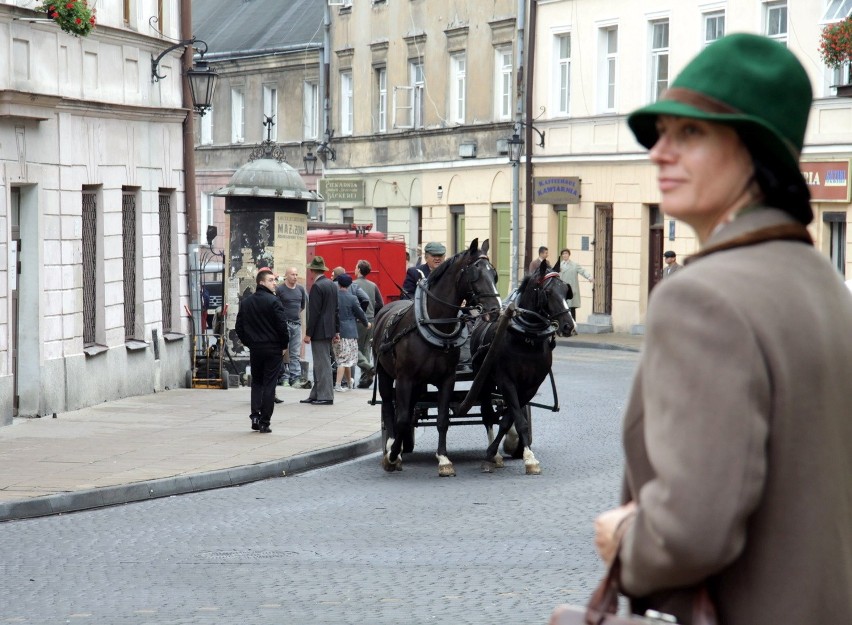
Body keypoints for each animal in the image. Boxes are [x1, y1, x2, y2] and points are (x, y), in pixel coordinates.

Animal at [372, 236, 500, 476]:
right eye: (475, 274)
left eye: (494, 274)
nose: (495, 310)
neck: (434, 324)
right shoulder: (404, 379)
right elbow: (401, 418)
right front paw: (393, 455)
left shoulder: (446, 379)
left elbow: (442, 419)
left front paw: (443, 459)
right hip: (386, 375)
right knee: (388, 408)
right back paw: (392, 446)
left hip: (417, 384)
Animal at [470, 262, 576, 472]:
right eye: (548, 292)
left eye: (565, 290)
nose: (569, 325)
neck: (526, 338)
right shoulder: (506, 381)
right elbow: (516, 419)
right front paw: (496, 454)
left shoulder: (530, 387)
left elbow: (510, 418)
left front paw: (522, 451)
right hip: (483, 380)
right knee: (487, 415)